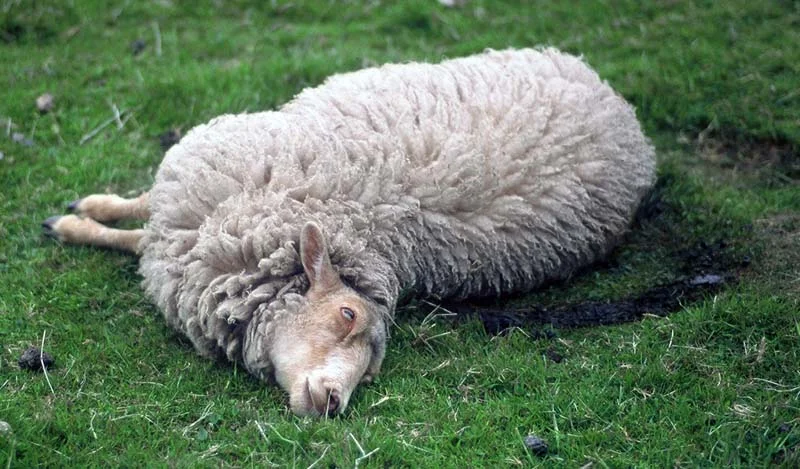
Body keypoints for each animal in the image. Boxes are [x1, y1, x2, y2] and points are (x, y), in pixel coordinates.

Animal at [43, 47, 656, 417]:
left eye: (373, 367)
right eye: (347, 314)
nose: (334, 399)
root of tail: (623, 112)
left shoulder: (194, 222)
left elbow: (133, 238)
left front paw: (77, 222)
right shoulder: (194, 198)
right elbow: (138, 213)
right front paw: (83, 212)